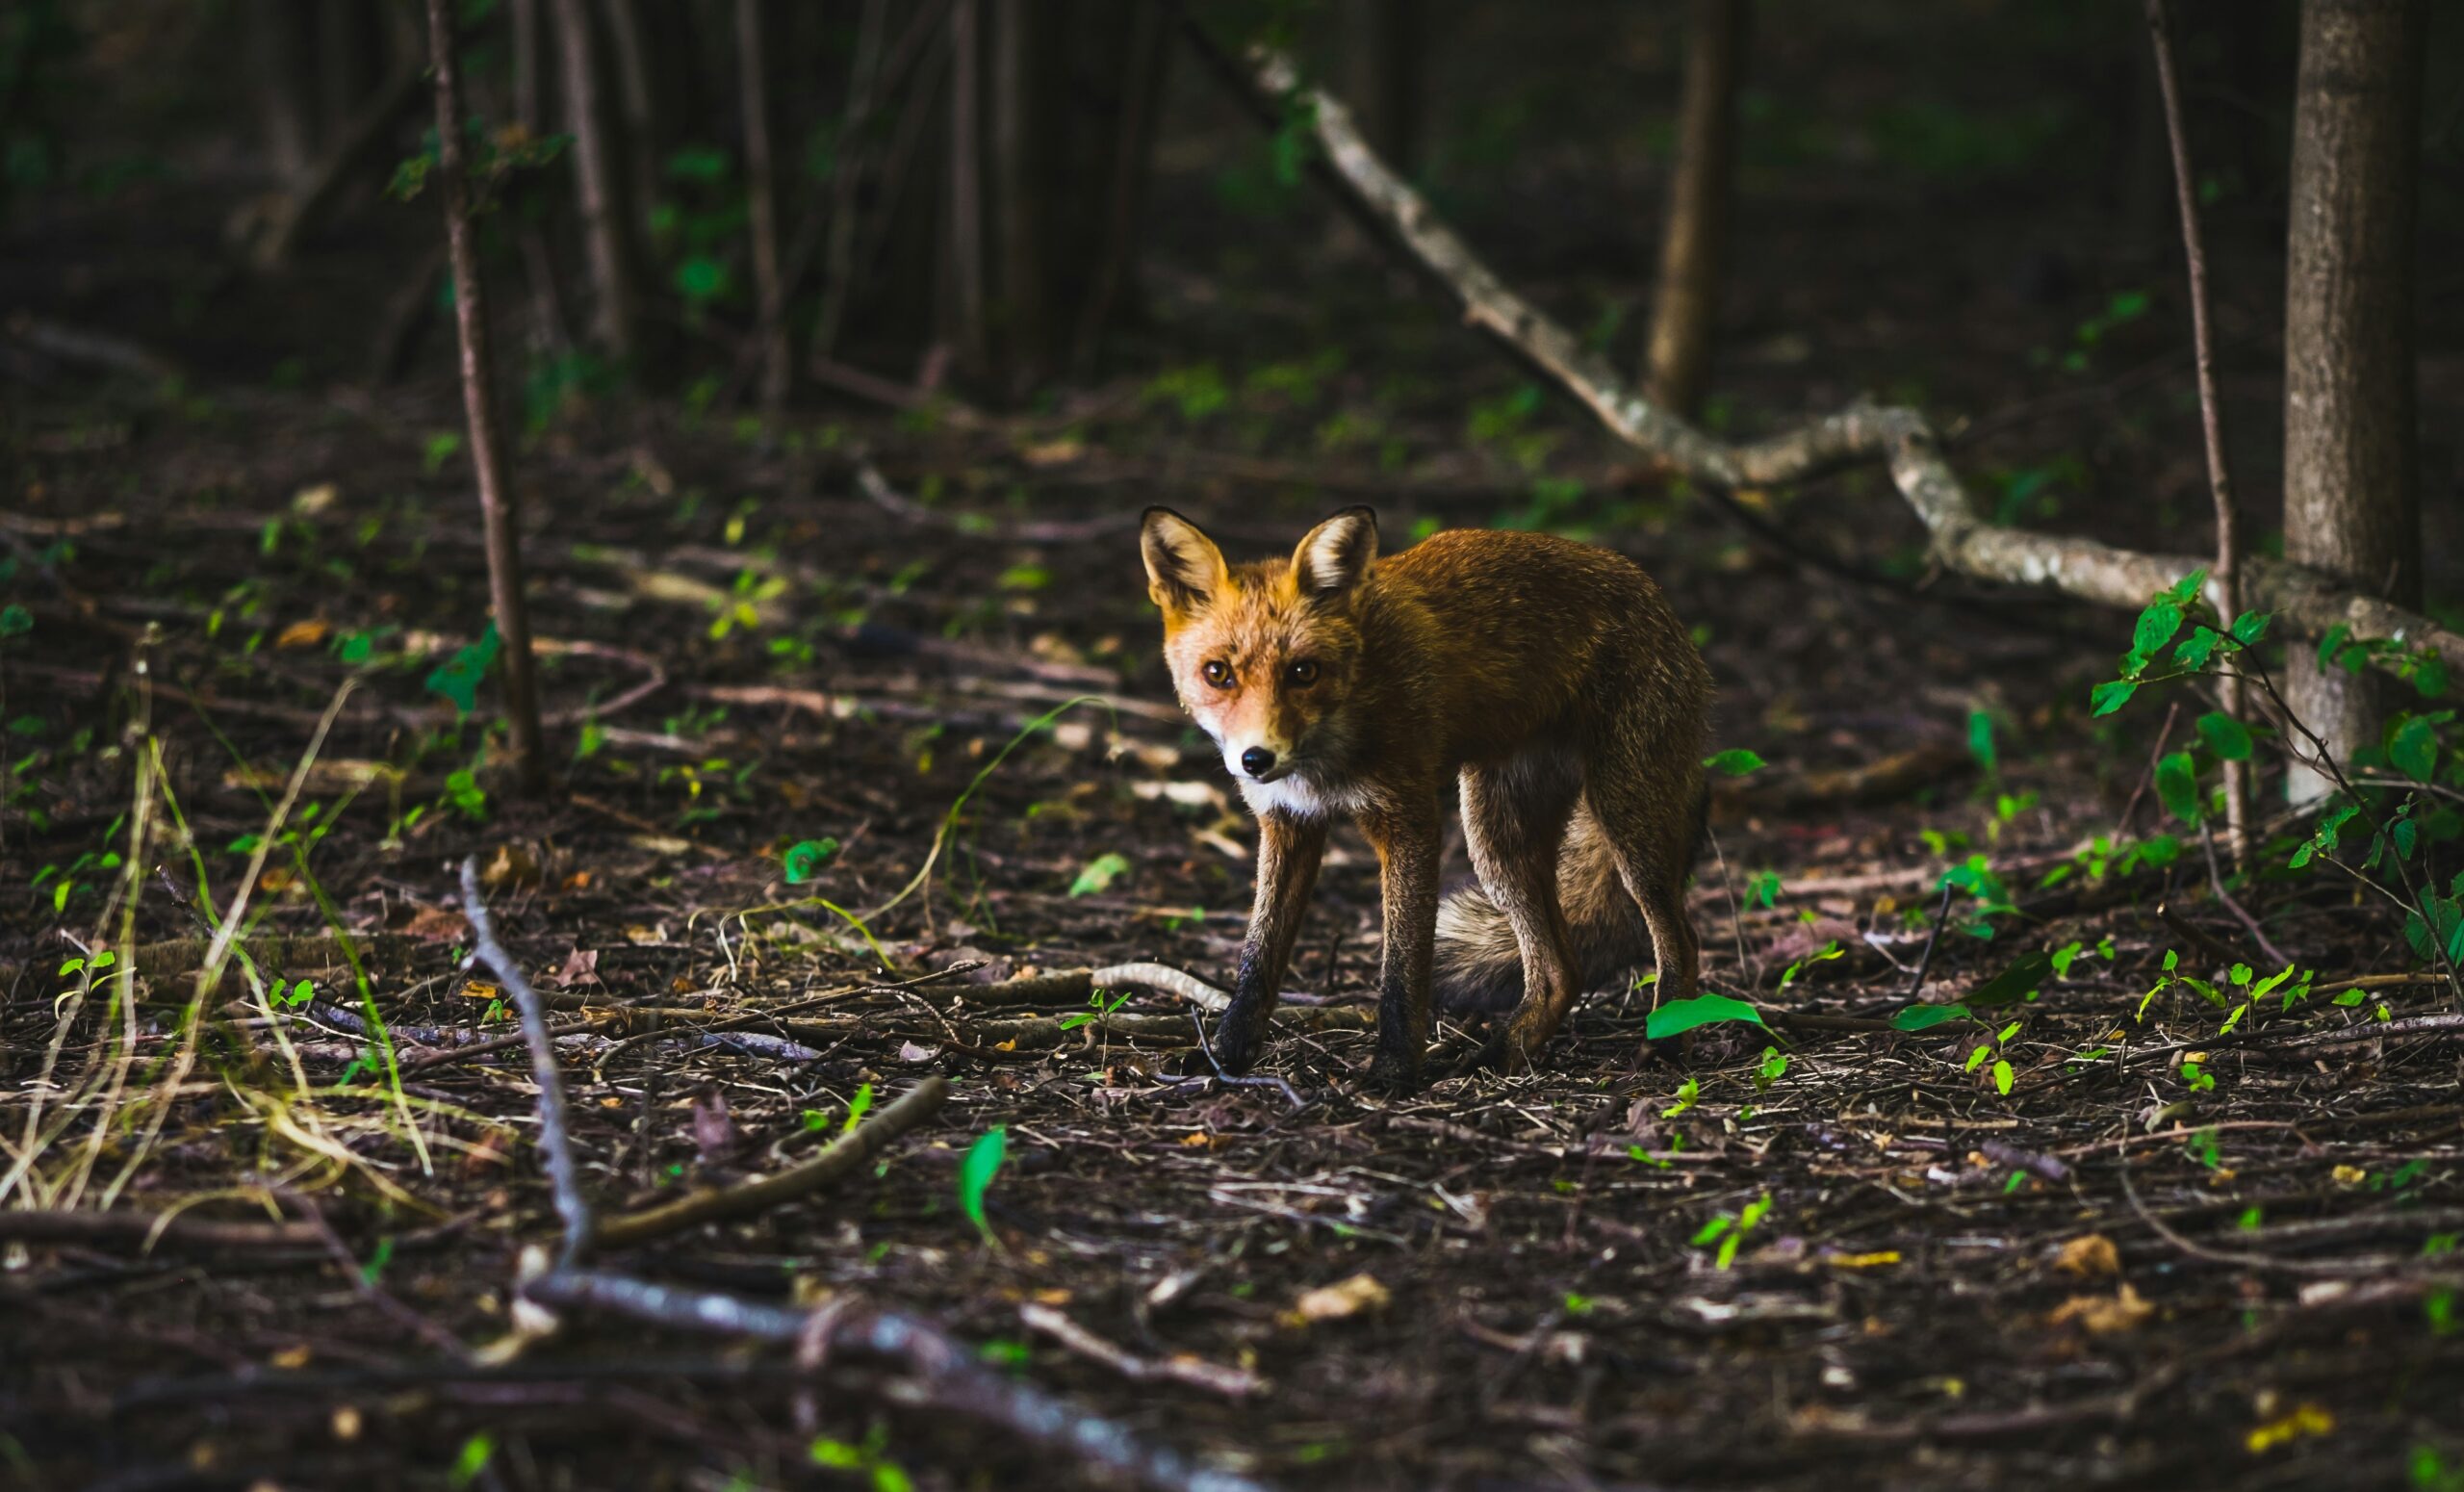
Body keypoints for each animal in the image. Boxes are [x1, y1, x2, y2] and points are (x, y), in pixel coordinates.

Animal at [1141, 504, 1714, 1090]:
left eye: (1303, 672)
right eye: (1218, 673)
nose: (1257, 760)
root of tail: (1650, 588)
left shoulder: (1407, 820)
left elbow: (1402, 970)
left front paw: (1391, 1071)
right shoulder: (1288, 824)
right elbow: (1257, 959)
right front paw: (1225, 1057)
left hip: (1624, 820)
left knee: (1682, 939)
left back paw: (1666, 1047)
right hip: (1498, 842)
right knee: (1561, 972)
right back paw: (1498, 1057)